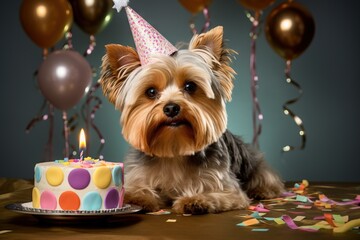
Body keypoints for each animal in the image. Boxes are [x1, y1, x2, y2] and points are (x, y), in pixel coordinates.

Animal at [98, 26, 284, 214]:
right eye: (150, 92)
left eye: (190, 86)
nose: (171, 108)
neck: (174, 150)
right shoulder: (138, 173)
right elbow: (136, 188)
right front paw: (138, 197)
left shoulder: (227, 187)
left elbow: (221, 195)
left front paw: (195, 200)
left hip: (255, 164)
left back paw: (262, 190)